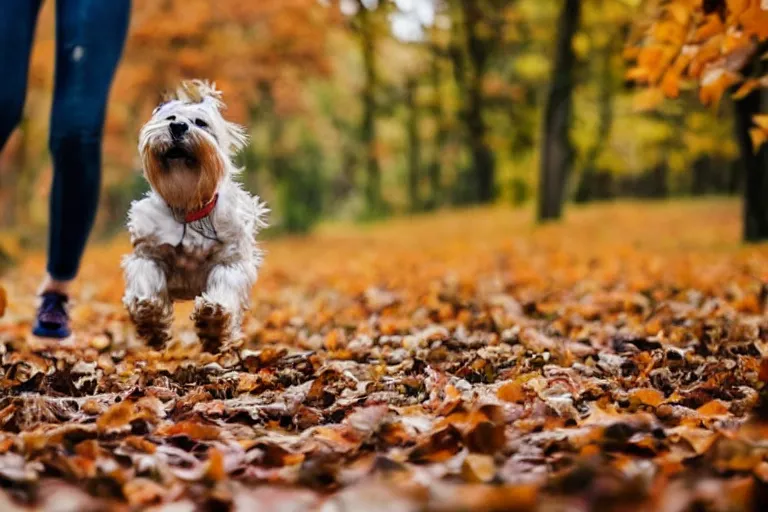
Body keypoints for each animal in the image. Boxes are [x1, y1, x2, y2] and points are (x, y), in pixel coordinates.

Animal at [124, 81, 268, 352]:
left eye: (201, 123)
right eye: (170, 118)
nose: (178, 126)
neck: (187, 206)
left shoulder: (229, 260)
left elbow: (223, 285)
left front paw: (213, 318)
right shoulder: (149, 253)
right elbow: (146, 278)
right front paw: (150, 317)